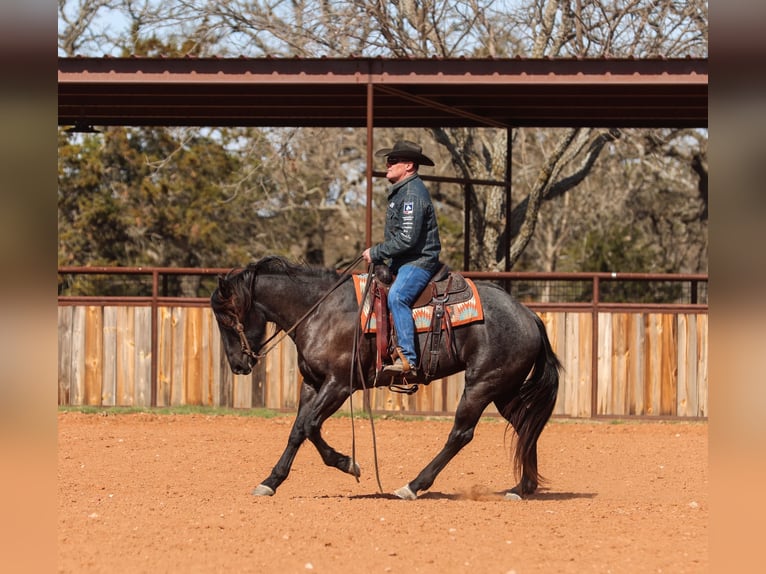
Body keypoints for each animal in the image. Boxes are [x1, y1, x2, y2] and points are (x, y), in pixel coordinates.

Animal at [211, 255, 561, 500]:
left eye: (227, 318)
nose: (238, 365)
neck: (322, 311)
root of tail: (529, 315)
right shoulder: (312, 383)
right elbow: (298, 430)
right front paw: (270, 481)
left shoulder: (339, 385)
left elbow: (310, 426)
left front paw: (348, 464)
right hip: (503, 390)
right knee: (525, 426)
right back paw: (522, 487)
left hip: (482, 385)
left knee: (461, 434)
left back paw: (413, 486)